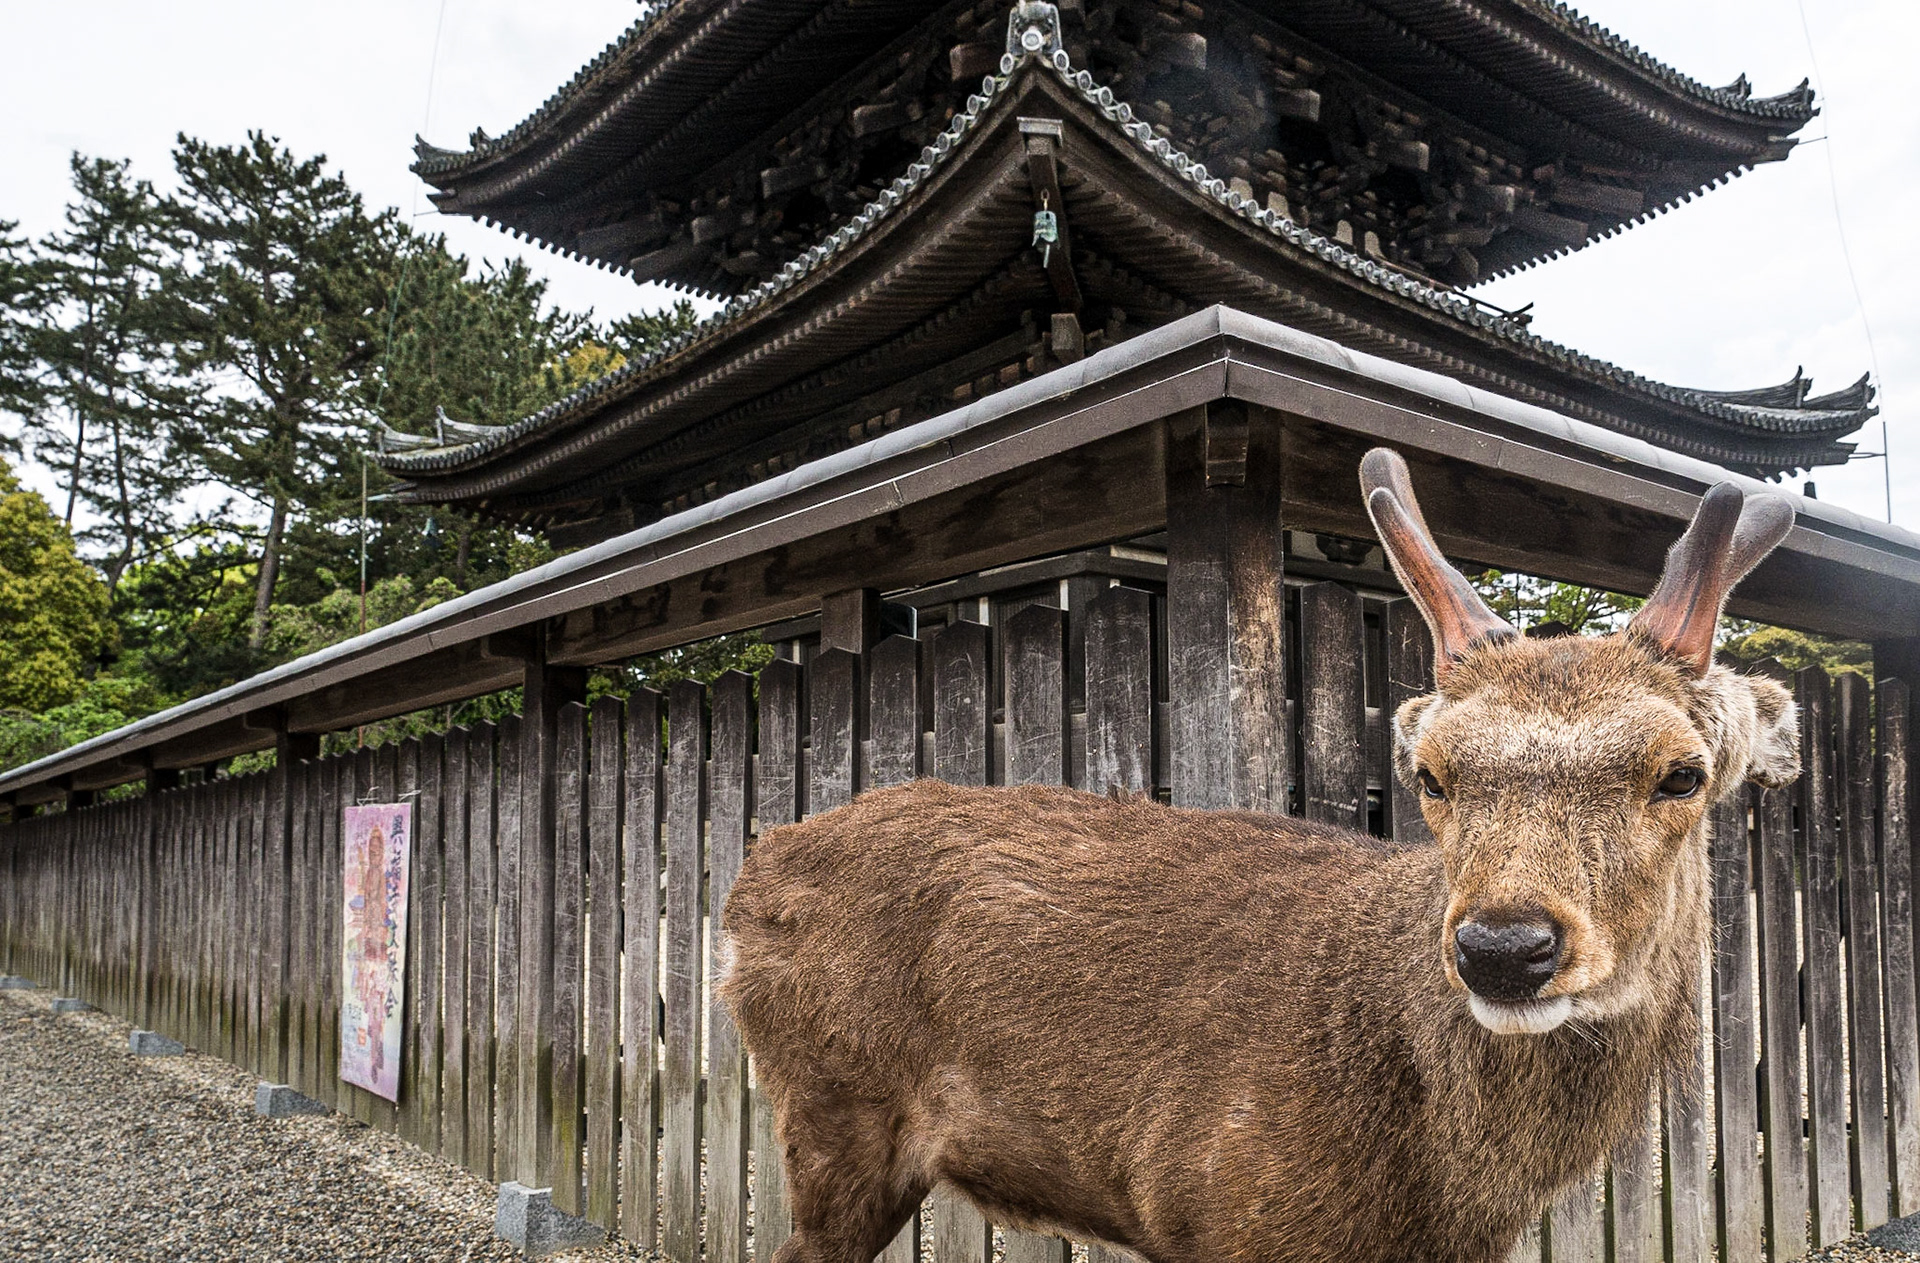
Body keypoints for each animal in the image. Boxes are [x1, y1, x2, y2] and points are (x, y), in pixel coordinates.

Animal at [720, 448, 1802, 1263]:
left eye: (1682, 774)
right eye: (1432, 773)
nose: (1504, 947)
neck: (1437, 1195)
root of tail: (744, 888)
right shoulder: (1210, 1205)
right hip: (833, 1107)